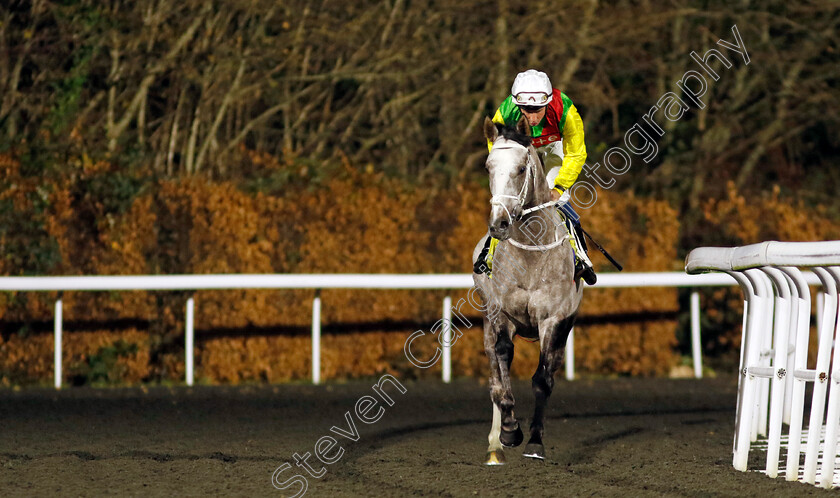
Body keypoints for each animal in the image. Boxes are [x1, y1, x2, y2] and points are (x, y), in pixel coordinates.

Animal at [472, 115, 584, 462]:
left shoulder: (552, 319)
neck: (530, 256)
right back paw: (495, 443)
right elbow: (502, 359)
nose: (499, 224)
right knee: (494, 373)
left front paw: (534, 440)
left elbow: (543, 379)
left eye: (521, 168)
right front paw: (509, 430)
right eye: (488, 166)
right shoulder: (501, 313)